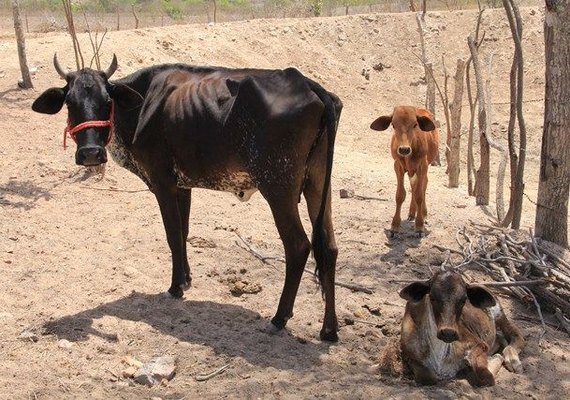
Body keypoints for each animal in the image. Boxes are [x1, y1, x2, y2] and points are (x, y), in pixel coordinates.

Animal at [33, 54, 342, 340]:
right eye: (69, 102)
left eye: (106, 100)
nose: (90, 154)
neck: (140, 105)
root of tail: (306, 83)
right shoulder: (183, 186)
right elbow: (183, 232)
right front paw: (187, 279)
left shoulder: (162, 182)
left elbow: (172, 235)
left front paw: (175, 287)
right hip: (317, 185)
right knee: (329, 248)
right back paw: (329, 329)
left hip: (278, 187)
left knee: (299, 246)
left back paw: (279, 317)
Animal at [368, 106, 440, 238]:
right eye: (393, 125)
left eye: (415, 124)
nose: (404, 149)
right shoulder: (398, 166)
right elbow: (400, 195)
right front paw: (395, 227)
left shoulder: (422, 166)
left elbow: (419, 195)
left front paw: (419, 226)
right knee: (413, 185)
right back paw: (412, 213)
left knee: (423, 185)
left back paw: (423, 213)